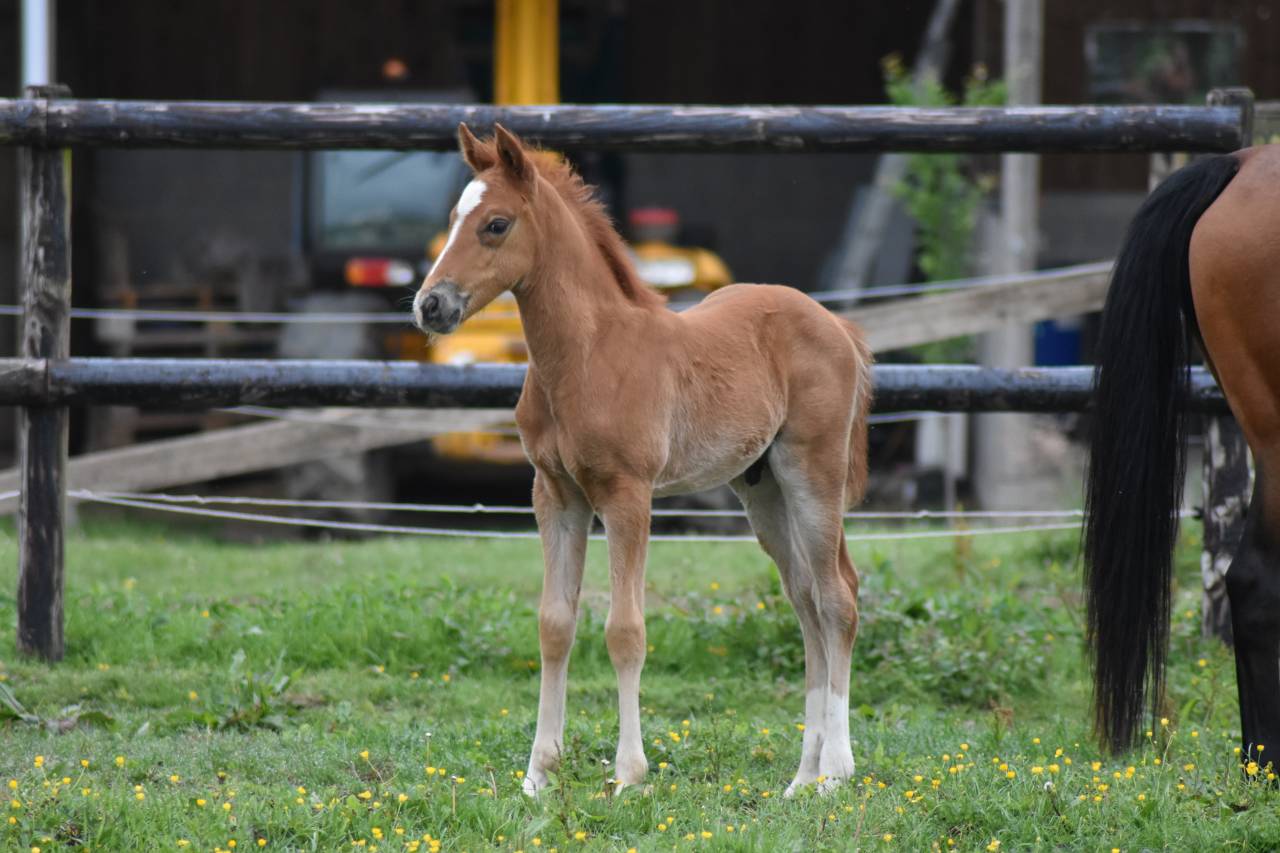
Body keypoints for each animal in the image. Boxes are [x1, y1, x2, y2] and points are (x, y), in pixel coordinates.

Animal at [413, 124, 873, 796]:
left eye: (496, 224)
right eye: (451, 219)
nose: (429, 306)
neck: (587, 354)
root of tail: (837, 324)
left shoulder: (626, 494)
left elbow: (625, 630)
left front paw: (629, 774)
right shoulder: (555, 494)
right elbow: (555, 624)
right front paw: (539, 774)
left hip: (813, 472)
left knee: (837, 597)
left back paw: (836, 772)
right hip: (762, 490)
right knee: (806, 599)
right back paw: (800, 780)